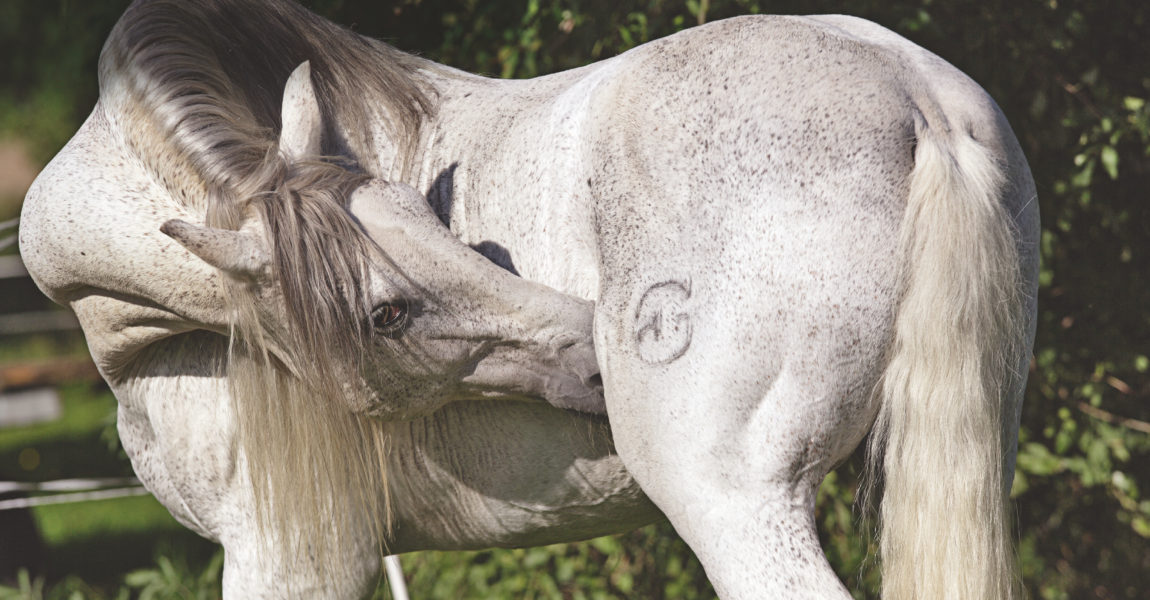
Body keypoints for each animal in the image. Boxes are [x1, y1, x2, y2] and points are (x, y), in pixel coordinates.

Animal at [20, 0, 1044, 593]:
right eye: (385, 313)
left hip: (735, 504)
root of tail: (911, 94)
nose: (594, 356)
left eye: (433, 222)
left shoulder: (287, 556)